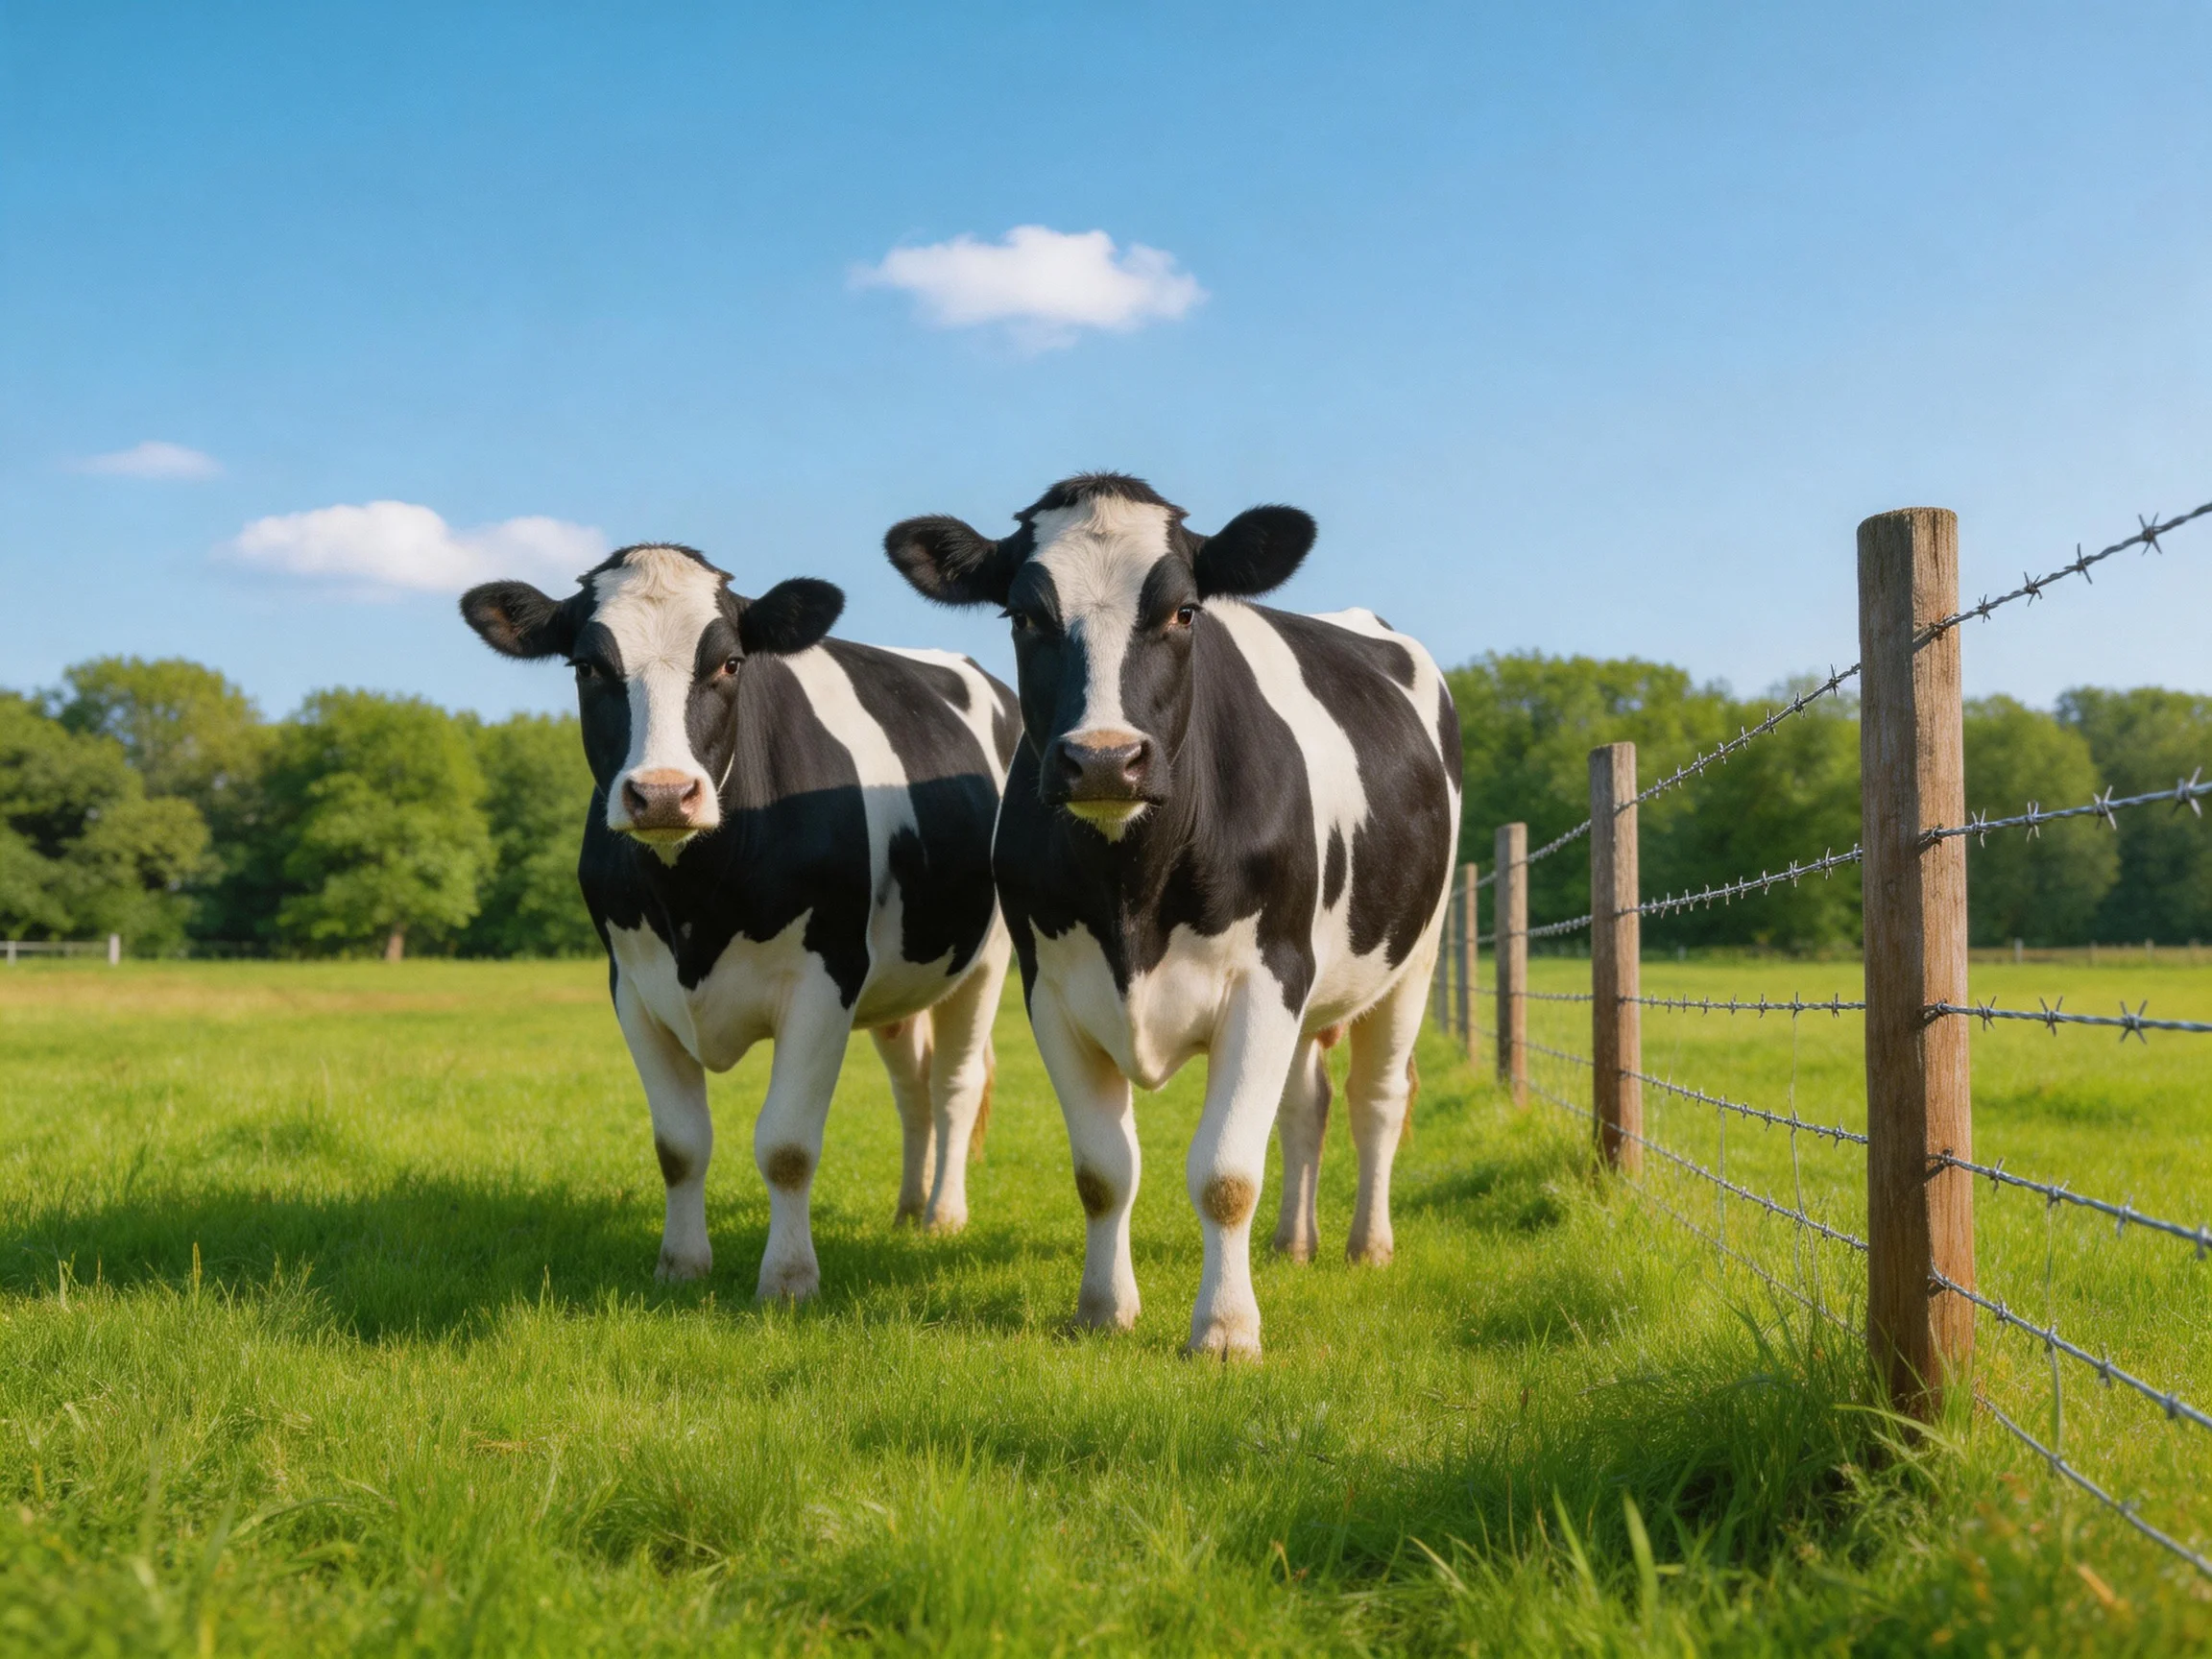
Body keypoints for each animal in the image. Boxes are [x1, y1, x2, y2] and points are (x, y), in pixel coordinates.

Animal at [460, 543, 1018, 1300]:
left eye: (728, 663)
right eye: (587, 667)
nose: (664, 793)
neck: (694, 906)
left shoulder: (827, 978)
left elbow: (786, 1147)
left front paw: (788, 1279)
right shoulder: (632, 988)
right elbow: (678, 1146)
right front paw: (680, 1265)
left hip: (987, 958)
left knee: (955, 1086)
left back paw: (942, 1216)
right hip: (902, 977)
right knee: (912, 1087)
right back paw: (907, 1208)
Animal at [884, 474, 1460, 1358]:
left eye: (1185, 611)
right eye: (1023, 616)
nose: (1104, 759)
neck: (1132, 892)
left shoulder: (1268, 979)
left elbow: (1225, 1174)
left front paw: (1224, 1330)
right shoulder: (1051, 991)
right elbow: (1102, 1173)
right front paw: (1101, 1309)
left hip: (1413, 958)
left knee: (1378, 1097)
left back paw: (1368, 1245)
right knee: (1307, 1104)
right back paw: (1294, 1243)